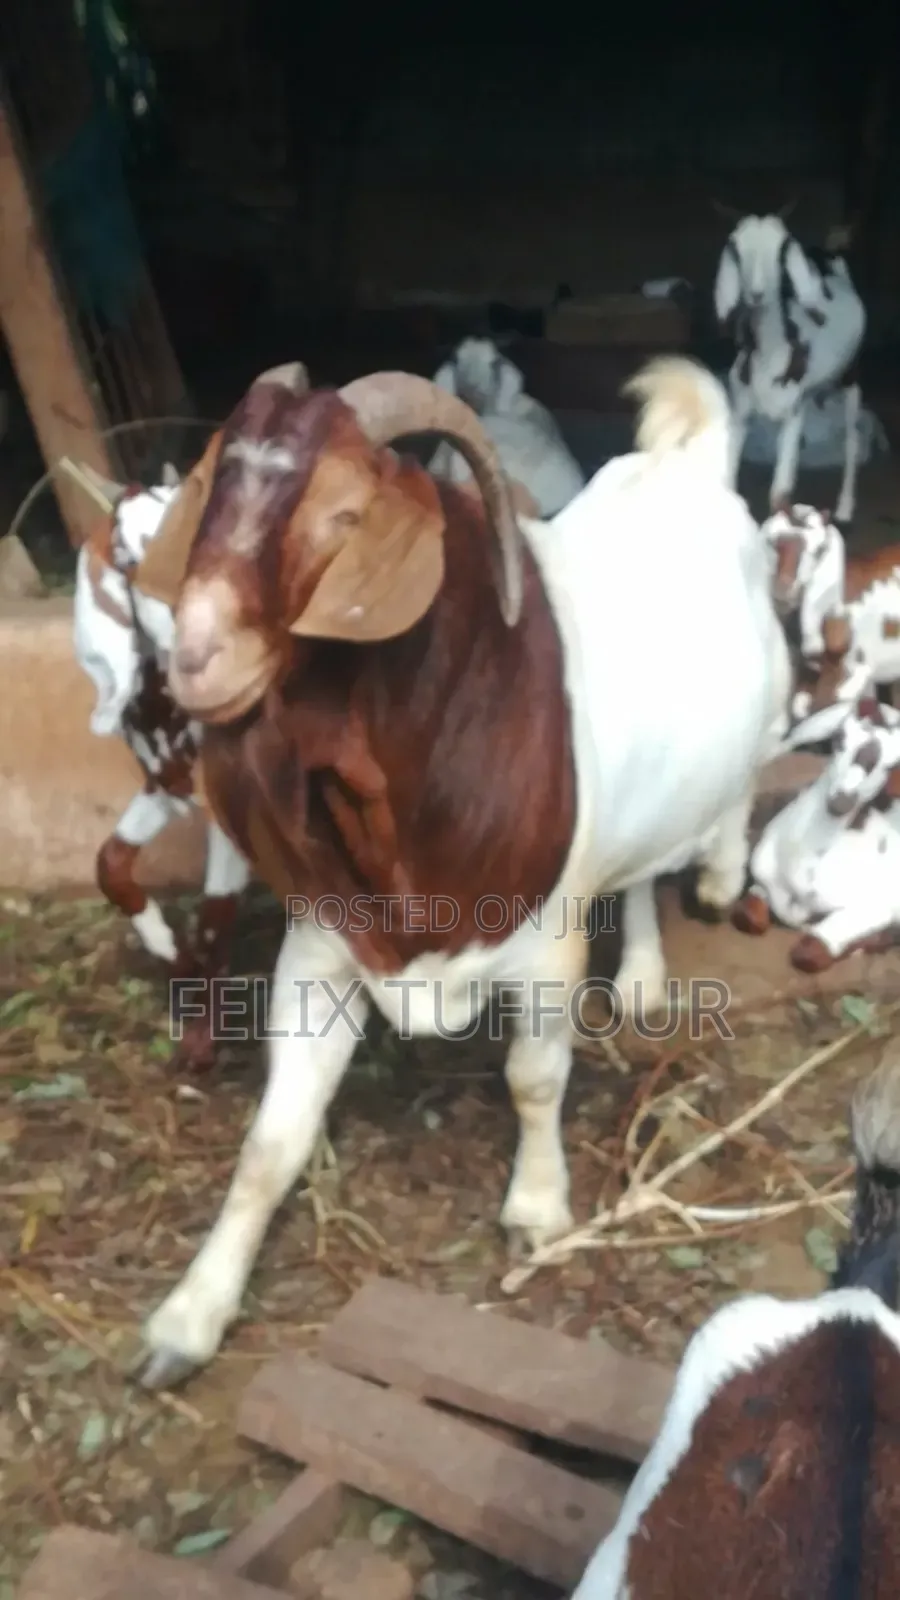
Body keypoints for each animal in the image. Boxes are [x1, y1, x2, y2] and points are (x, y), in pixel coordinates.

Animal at [73, 467, 250, 1071]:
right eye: (127, 558)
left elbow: (216, 913)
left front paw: (201, 1043)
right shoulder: (163, 785)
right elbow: (108, 864)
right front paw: (171, 953)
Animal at [714, 211, 866, 525]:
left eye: (781, 250)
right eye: (737, 248)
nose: (756, 295)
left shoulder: (792, 414)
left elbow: (779, 494)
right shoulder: (741, 410)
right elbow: (729, 483)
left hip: (851, 377)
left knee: (852, 438)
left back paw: (845, 508)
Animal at [732, 695, 900, 969]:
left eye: (890, 767)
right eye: (840, 739)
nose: (841, 801)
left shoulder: (876, 908)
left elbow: (809, 953)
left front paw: (868, 943)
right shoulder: (764, 881)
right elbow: (748, 916)